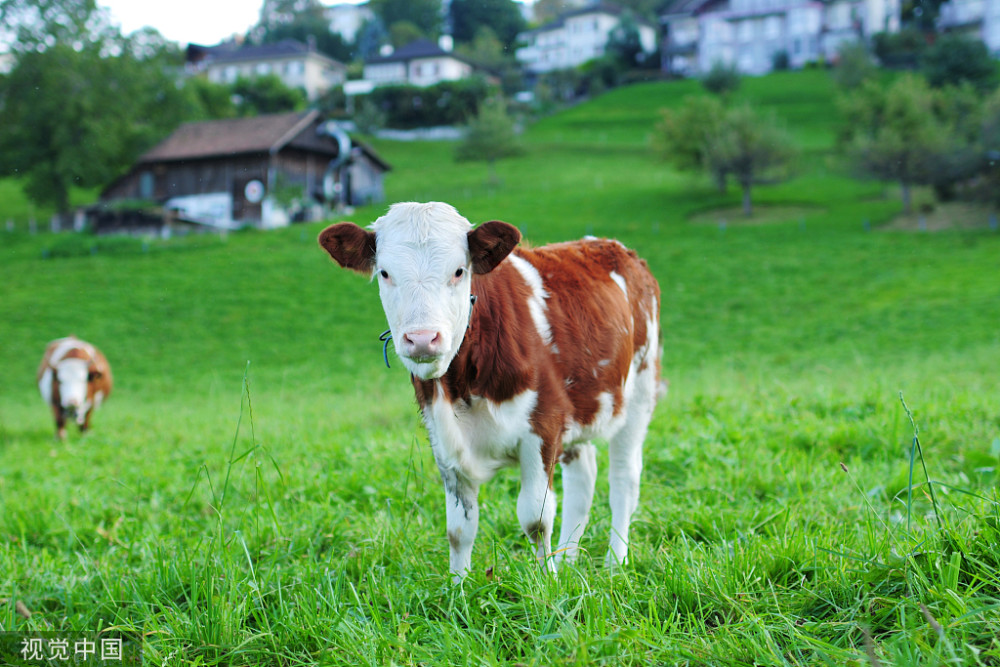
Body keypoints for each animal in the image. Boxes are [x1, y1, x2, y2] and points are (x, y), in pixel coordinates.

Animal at [320, 202, 664, 580]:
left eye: (458, 271)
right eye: (384, 273)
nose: (422, 339)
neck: (461, 387)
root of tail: (609, 245)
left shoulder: (544, 425)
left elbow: (536, 517)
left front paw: (547, 584)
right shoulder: (442, 436)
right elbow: (458, 528)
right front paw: (458, 586)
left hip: (640, 389)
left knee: (624, 481)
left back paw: (616, 563)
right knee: (583, 480)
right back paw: (567, 560)